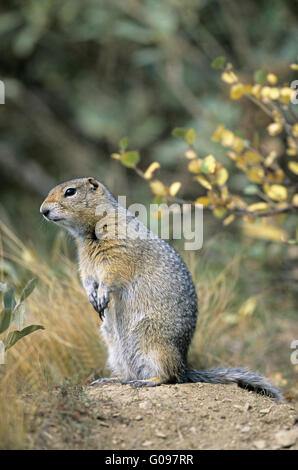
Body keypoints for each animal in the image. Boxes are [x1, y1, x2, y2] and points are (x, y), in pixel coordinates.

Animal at [40, 178, 282, 398]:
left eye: (70, 192)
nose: (43, 210)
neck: (90, 231)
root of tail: (185, 365)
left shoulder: (118, 251)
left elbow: (112, 274)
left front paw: (102, 295)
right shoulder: (85, 263)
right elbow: (88, 279)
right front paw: (92, 296)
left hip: (155, 343)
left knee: (170, 377)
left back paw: (149, 381)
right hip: (115, 349)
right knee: (132, 373)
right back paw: (113, 379)